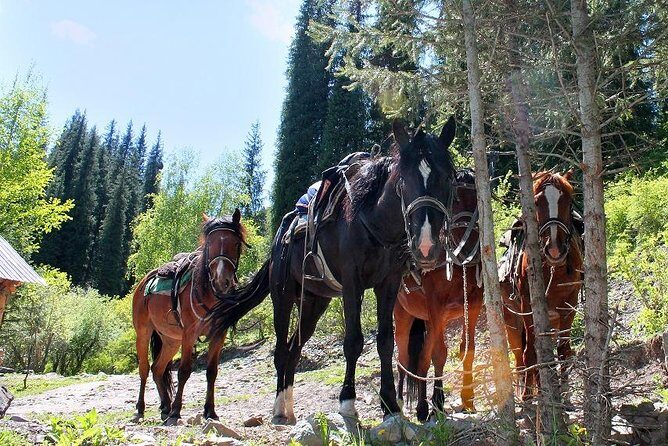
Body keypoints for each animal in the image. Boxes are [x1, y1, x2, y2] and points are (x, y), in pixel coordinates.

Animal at [132, 210, 247, 424]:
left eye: (236, 243)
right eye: (209, 244)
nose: (222, 281)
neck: (209, 293)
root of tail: (143, 282)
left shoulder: (219, 335)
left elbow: (212, 372)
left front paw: (210, 411)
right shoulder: (189, 334)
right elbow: (184, 371)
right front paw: (177, 411)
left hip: (170, 340)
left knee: (157, 369)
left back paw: (165, 407)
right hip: (143, 332)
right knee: (144, 368)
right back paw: (141, 408)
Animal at [211, 119, 458, 424]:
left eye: (448, 178)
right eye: (403, 181)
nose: (426, 246)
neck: (373, 220)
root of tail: (279, 238)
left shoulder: (388, 285)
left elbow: (385, 342)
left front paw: (390, 404)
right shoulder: (352, 285)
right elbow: (353, 341)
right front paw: (347, 402)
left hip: (314, 304)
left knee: (293, 350)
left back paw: (289, 409)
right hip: (283, 297)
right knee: (280, 351)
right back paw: (279, 409)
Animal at [394, 169, 483, 421]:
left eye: (477, 201)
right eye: (456, 200)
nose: (469, 247)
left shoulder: (473, 307)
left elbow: (467, 349)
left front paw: (467, 399)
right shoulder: (436, 310)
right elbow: (436, 354)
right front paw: (433, 403)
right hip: (403, 315)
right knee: (403, 357)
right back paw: (401, 401)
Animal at [500, 170, 583, 400]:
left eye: (569, 200)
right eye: (536, 203)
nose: (554, 249)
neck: (553, 270)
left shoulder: (569, 305)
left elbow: (563, 351)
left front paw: (565, 396)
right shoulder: (529, 307)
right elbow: (530, 353)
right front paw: (527, 396)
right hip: (511, 321)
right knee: (520, 356)